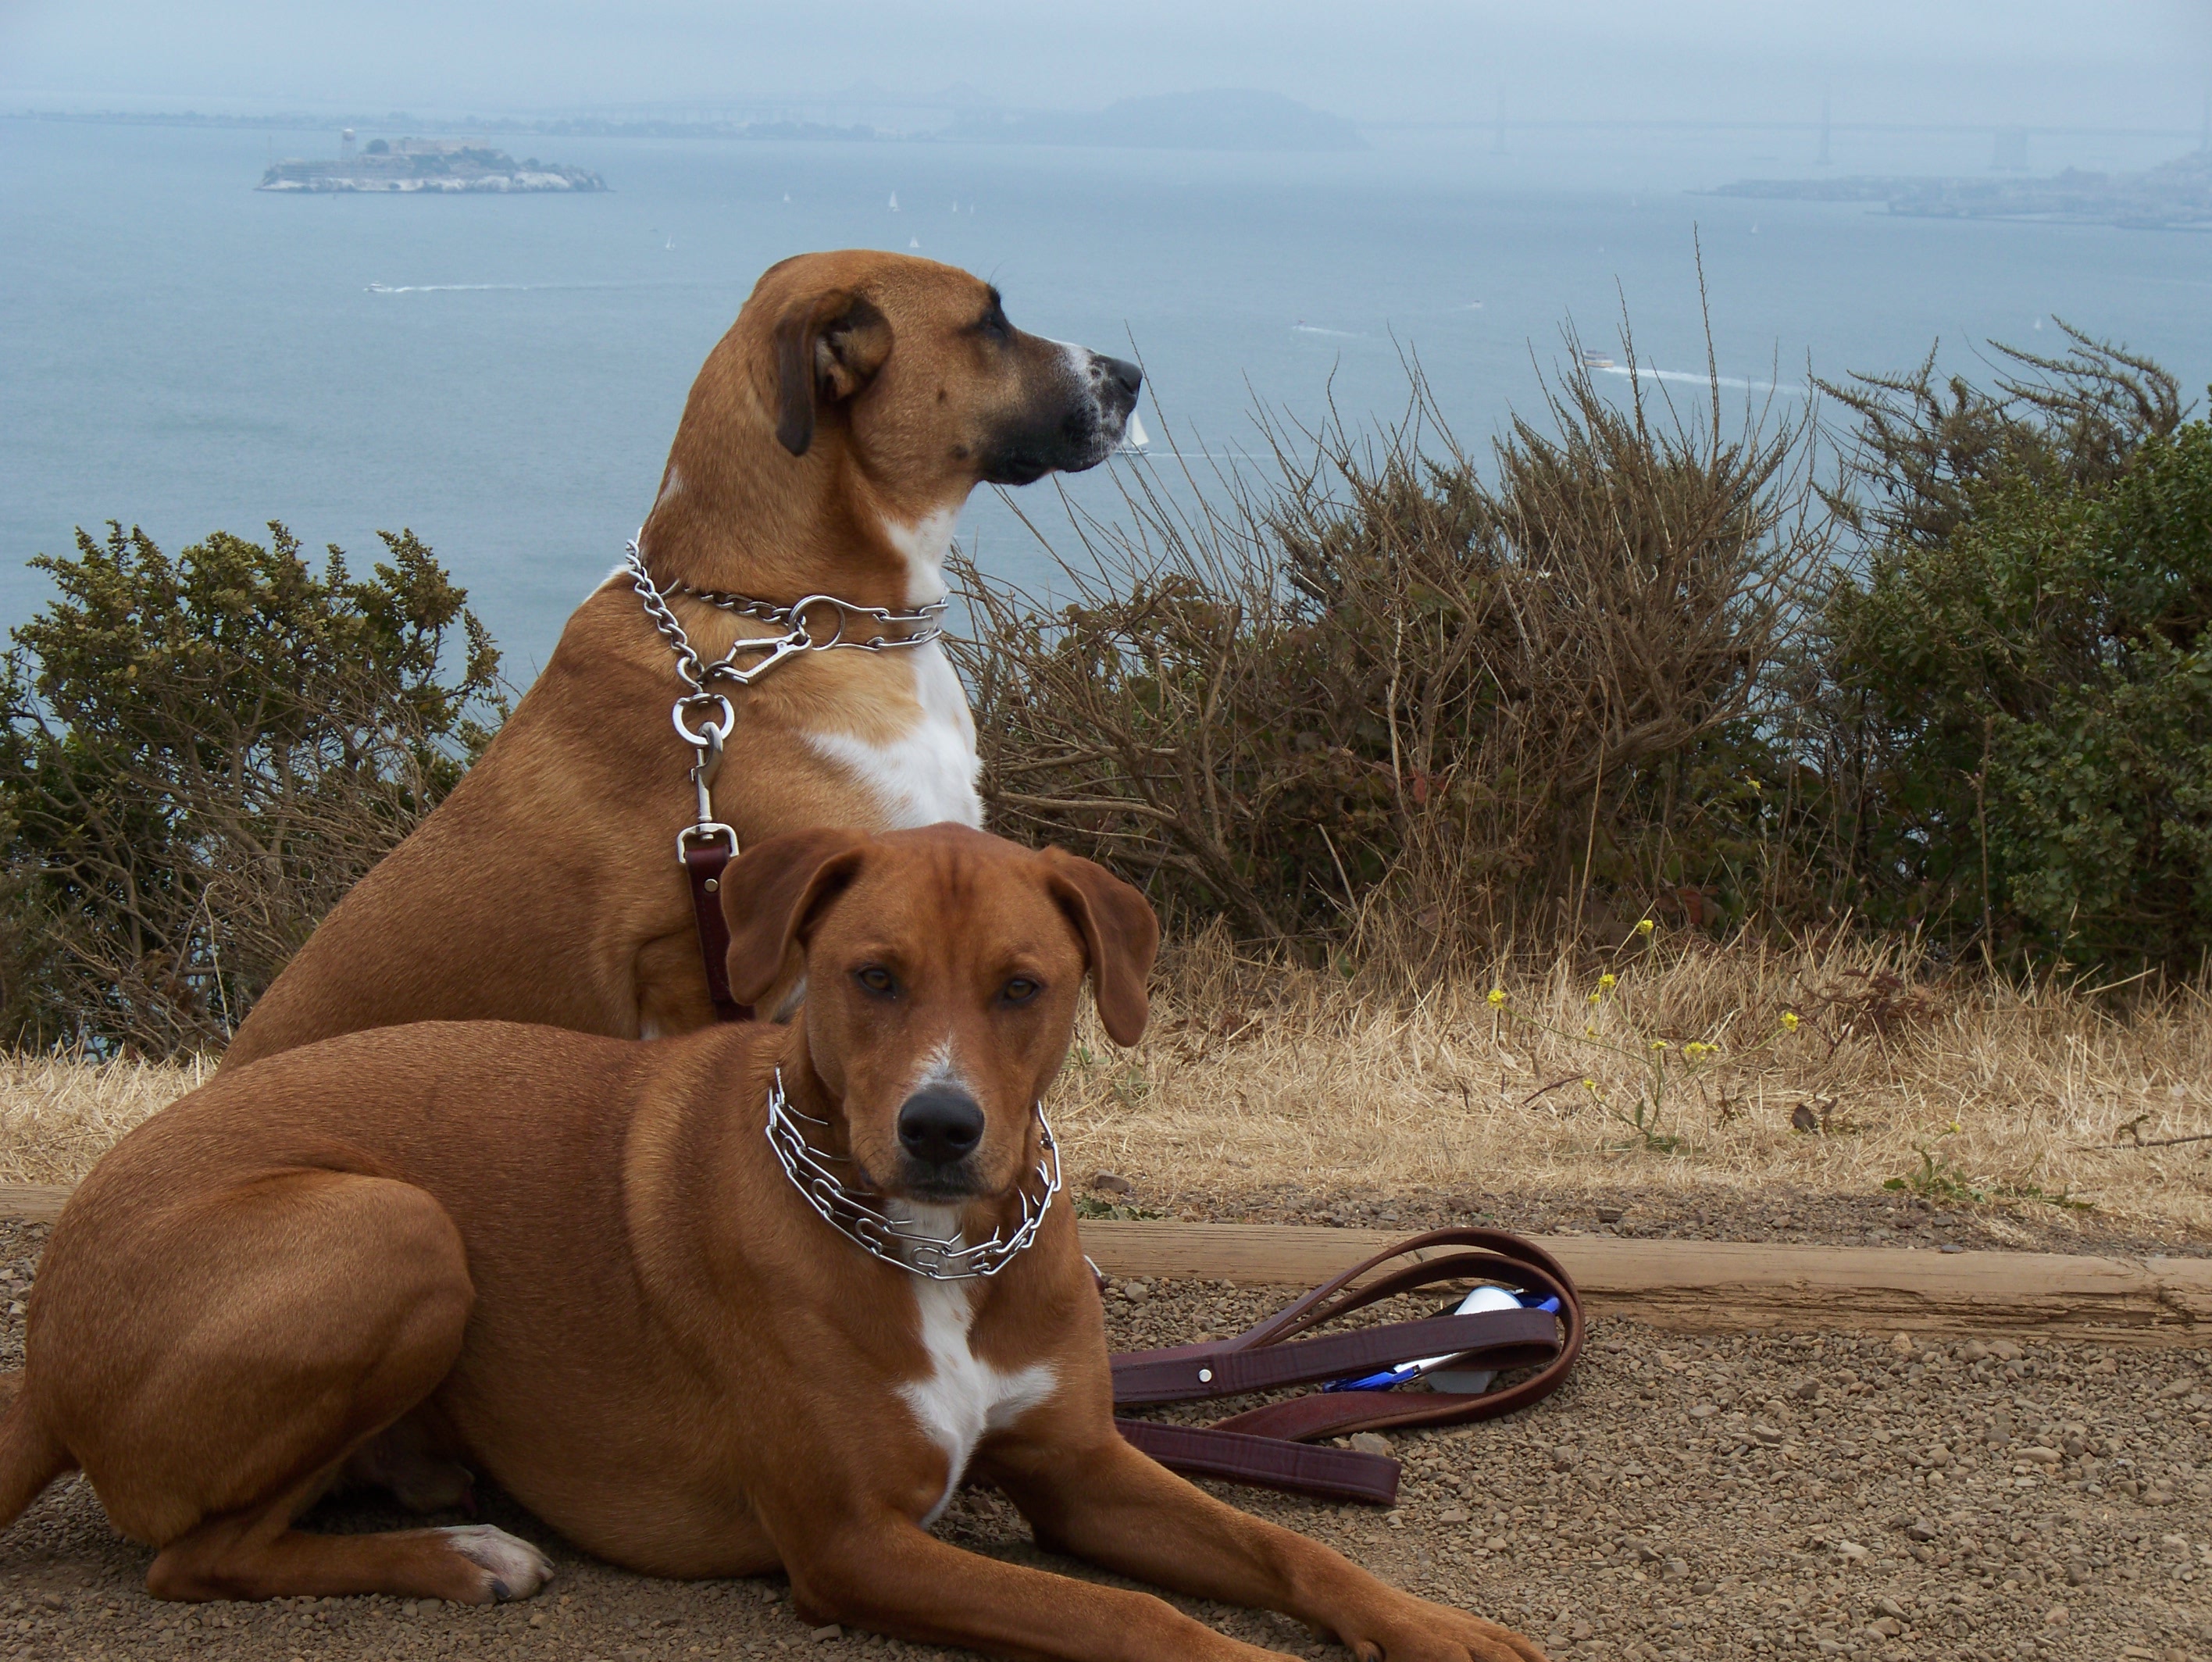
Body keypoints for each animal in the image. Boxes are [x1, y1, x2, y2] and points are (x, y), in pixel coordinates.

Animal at [0, 825, 1545, 1662]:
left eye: (1022, 987)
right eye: (871, 976)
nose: (941, 1125)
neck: (937, 1253)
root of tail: (47, 1337)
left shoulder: (1086, 1471)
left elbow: (1288, 1546)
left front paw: (1428, 1620)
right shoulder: (853, 1544)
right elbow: (1138, 1621)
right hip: (393, 1226)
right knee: (192, 1560)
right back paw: (459, 1554)